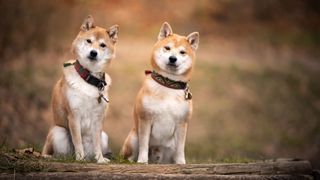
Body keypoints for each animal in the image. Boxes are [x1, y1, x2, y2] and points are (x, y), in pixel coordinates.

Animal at [41, 15, 119, 163]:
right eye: (89, 41)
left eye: (102, 45)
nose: (93, 53)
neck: (88, 78)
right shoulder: (74, 115)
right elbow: (77, 141)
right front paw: (80, 159)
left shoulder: (98, 118)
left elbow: (96, 143)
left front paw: (100, 159)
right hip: (58, 132)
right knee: (54, 153)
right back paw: (55, 157)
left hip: (105, 136)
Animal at [121, 21, 199, 164]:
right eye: (167, 48)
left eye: (182, 52)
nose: (173, 58)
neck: (168, 84)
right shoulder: (145, 119)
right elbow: (144, 144)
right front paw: (142, 161)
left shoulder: (182, 123)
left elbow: (181, 148)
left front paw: (181, 163)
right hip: (134, 137)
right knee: (128, 156)